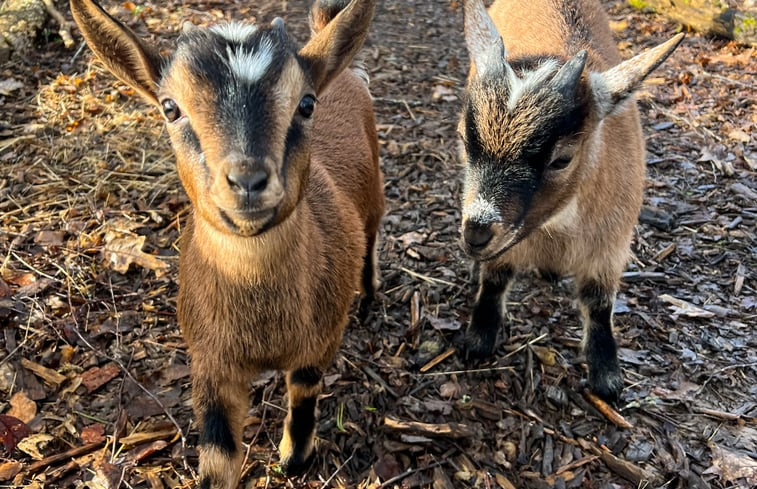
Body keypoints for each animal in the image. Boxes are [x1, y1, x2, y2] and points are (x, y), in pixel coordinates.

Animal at [69, 0, 384, 484]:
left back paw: (368, 296)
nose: (247, 180)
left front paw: (294, 457)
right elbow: (218, 453)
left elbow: (305, 389)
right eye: (170, 108)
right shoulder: (210, 362)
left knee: (370, 240)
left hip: (374, 193)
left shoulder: (322, 337)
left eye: (306, 103)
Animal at [458, 0, 684, 402]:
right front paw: (479, 339)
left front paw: (607, 378)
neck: (555, 231)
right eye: (465, 139)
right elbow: (496, 280)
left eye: (562, 159)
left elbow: (599, 304)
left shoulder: (610, 247)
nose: (476, 234)